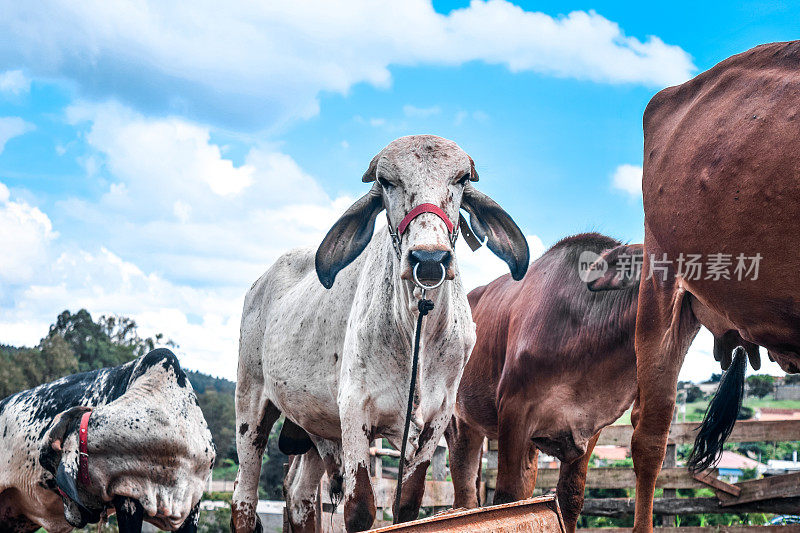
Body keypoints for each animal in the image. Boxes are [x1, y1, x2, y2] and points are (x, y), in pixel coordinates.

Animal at [446, 232, 640, 528]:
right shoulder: (514, 409)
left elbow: (570, 498)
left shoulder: (589, 426)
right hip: (454, 421)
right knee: (461, 494)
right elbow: (508, 499)